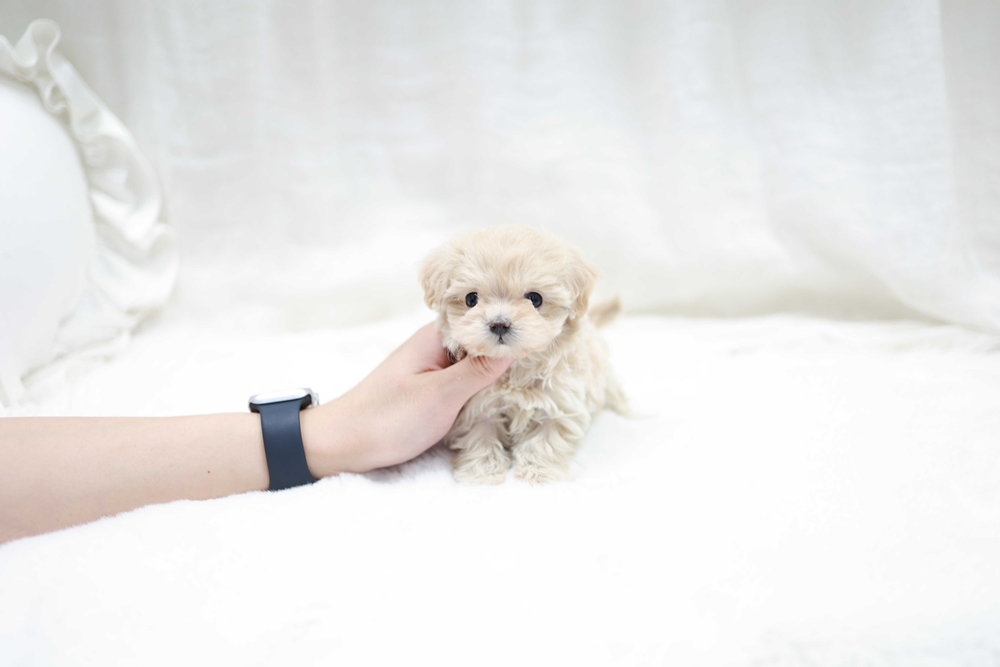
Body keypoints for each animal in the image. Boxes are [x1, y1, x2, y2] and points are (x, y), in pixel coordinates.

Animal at [419, 225, 627, 483]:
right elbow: (481, 436)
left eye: (535, 298)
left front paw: (539, 474)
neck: (516, 367)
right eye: (471, 299)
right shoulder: (476, 406)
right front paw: (481, 474)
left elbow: (546, 440)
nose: (499, 324)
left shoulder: (561, 401)